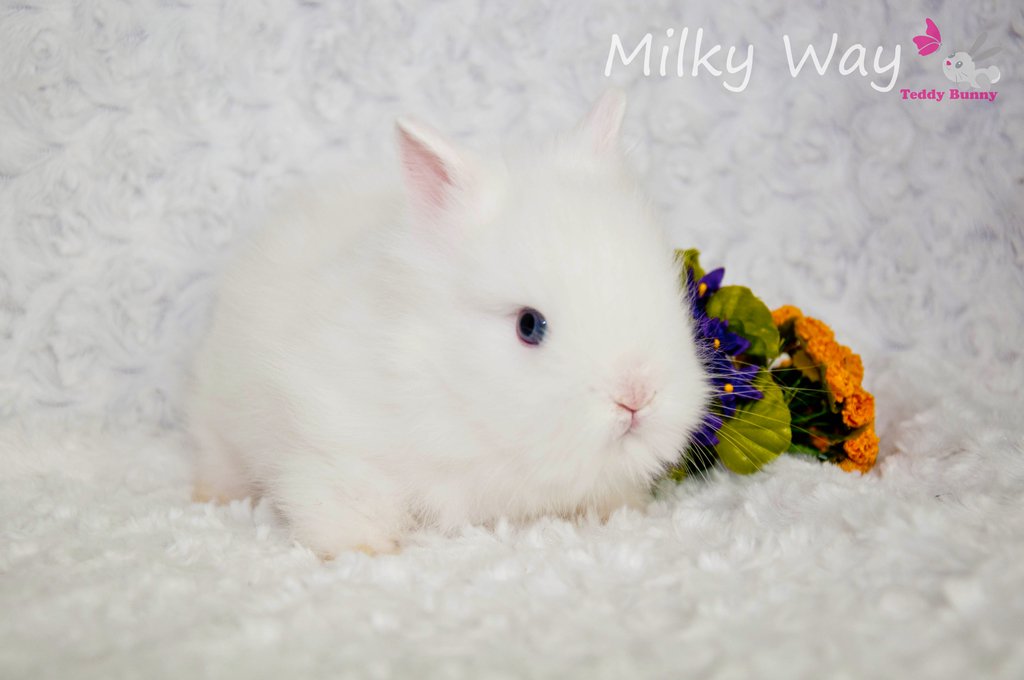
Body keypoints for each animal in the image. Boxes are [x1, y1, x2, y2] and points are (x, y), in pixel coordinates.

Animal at [185, 91, 710, 557]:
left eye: (669, 293)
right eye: (529, 325)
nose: (636, 397)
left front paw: (623, 511)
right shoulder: (335, 445)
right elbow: (341, 503)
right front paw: (366, 551)